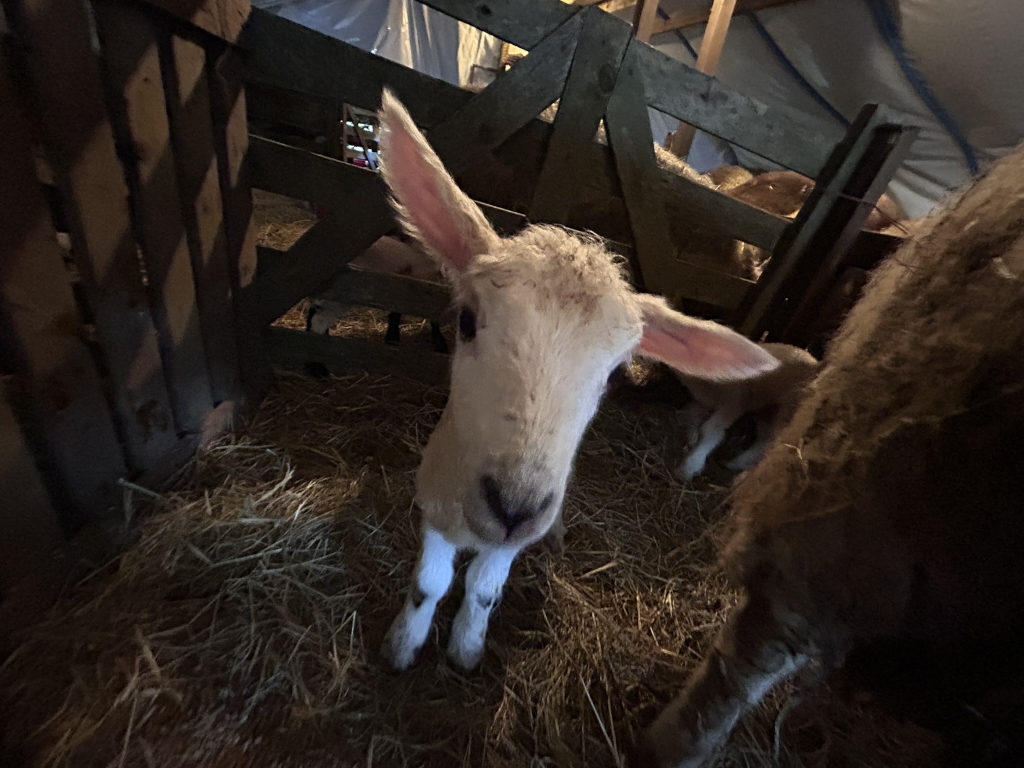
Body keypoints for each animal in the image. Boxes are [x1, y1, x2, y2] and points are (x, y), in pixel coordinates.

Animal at [372, 88, 784, 673]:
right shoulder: (437, 494)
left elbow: (482, 589)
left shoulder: (513, 534)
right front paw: (403, 645)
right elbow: (430, 582)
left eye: (613, 370)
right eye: (467, 321)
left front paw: (467, 649)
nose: (514, 509)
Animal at [673, 342, 819, 481]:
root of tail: (814, 362)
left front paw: (690, 465)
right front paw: (692, 438)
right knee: (764, 437)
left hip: (788, 407)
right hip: (765, 409)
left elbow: (710, 429)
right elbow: (692, 415)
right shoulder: (705, 402)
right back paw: (738, 463)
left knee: (773, 441)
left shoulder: (734, 401)